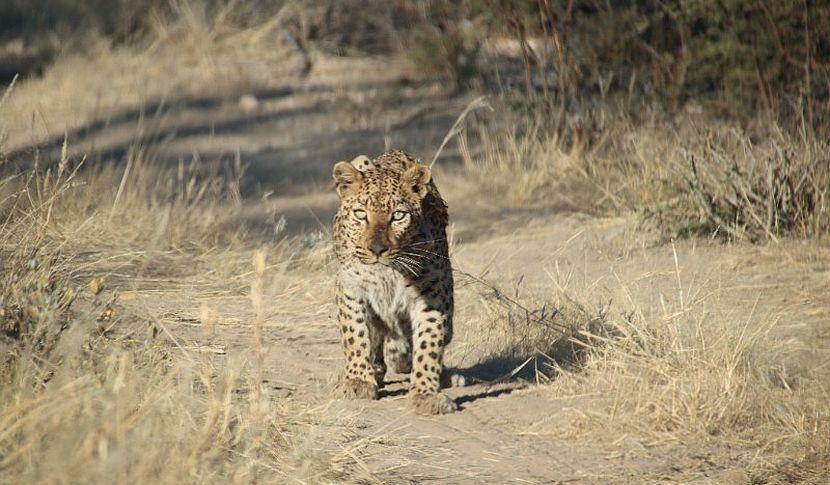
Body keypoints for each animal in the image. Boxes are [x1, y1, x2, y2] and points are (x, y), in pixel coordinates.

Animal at [332, 149, 458, 414]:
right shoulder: (350, 288)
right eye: (361, 214)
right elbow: (355, 334)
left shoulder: (433, 292)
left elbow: (429, 342)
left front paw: (425, 393)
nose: (377, 249)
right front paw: (358, 381)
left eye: (398, 216)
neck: (387, 272)